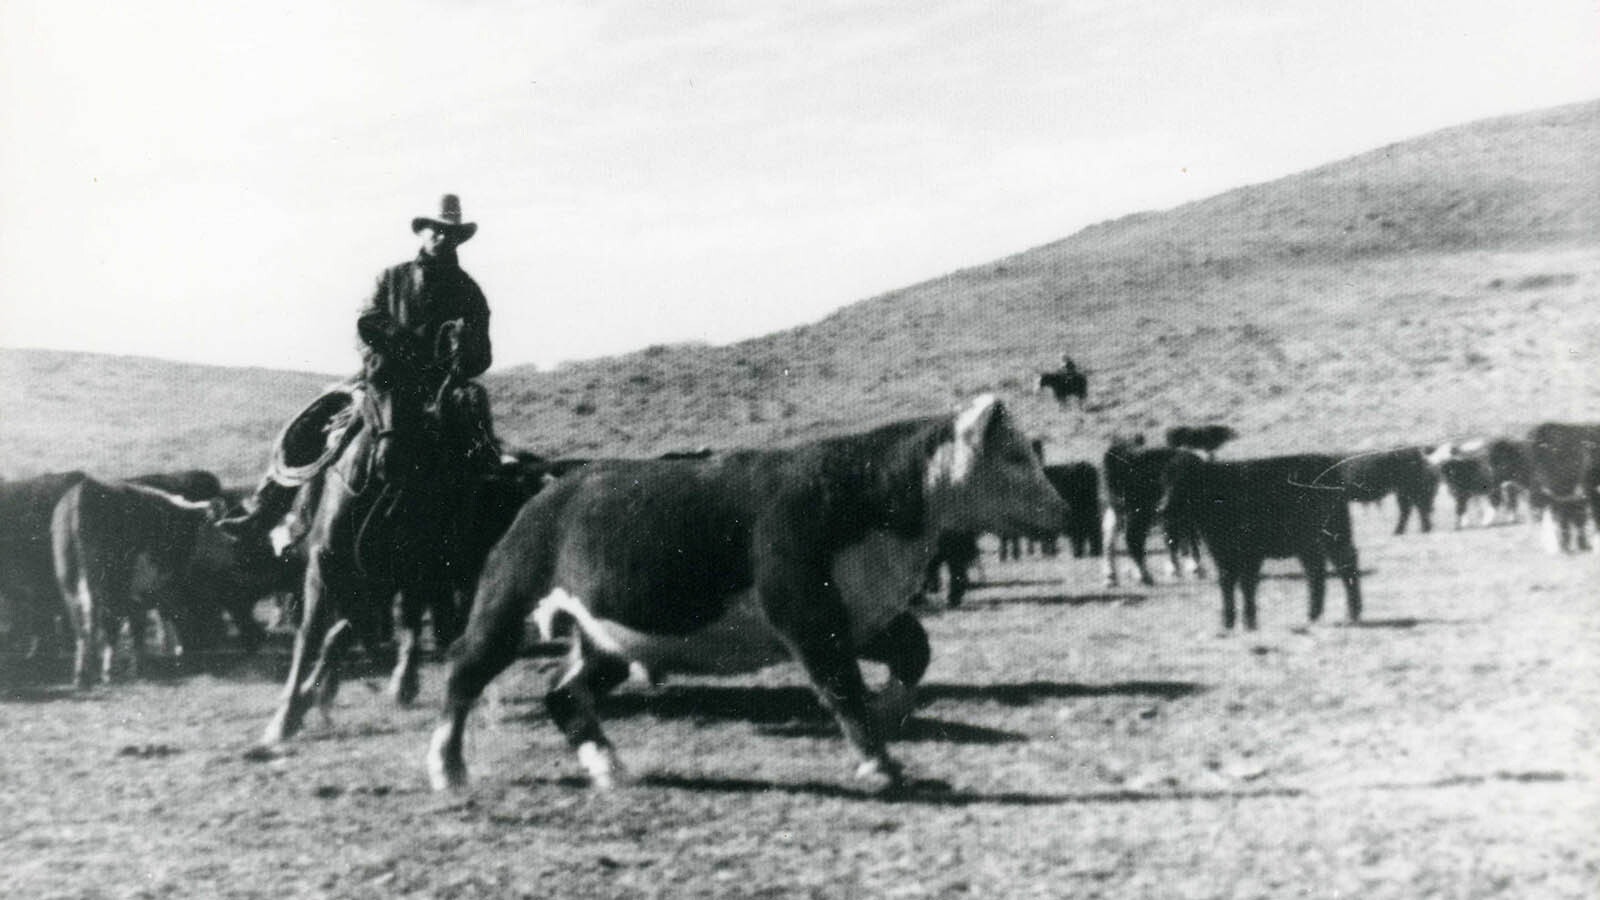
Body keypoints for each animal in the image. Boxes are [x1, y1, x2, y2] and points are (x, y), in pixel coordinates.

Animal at [260, 321, 480, 743]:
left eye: (421, 383)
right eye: (374, 378)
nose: (391, 459)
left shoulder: (387, 577)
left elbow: (343, 634)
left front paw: (308, 700)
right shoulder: (323, 566)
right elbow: (313, 635)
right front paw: (287, 713)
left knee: (409, 617)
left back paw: (401, 684)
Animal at [432, 395, 1068, 787]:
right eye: (1014, 455)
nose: (1062, 509)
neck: (862, 493)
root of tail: (545, 491)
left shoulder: (864, 614)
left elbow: (913, 650)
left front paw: (888, 717)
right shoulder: (804, 610)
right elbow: (839, 685)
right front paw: (878, 765)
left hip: (610, 639)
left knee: (564, 694)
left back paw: (611, 769)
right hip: (508, 607)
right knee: (464, 674)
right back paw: (448, 770)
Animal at [1164, 451, 1363, 627]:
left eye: (1186, 480)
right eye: (1164, 481)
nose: (1162, 507)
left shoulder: (1251, 554)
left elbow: (1246, 584)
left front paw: (1249, 622)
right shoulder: (1221, 553)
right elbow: (1226, 582)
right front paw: (1228, 623)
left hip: (1334, 533)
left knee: (1346, 563)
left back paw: (1352, 613)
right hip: (1308, 543)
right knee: (1316, 571)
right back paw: (1313, 615)